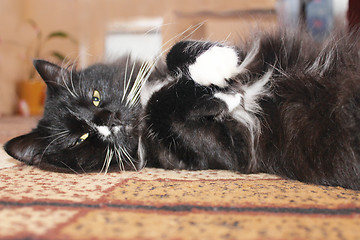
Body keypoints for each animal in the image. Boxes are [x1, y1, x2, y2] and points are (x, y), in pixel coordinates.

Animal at [4, 29, 360, 189]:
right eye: (81, 138)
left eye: (94, 97)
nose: (109, 121)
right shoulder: (228, 148)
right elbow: (164, 107)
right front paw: (225, 97)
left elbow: (177, 50)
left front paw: (218, 61)